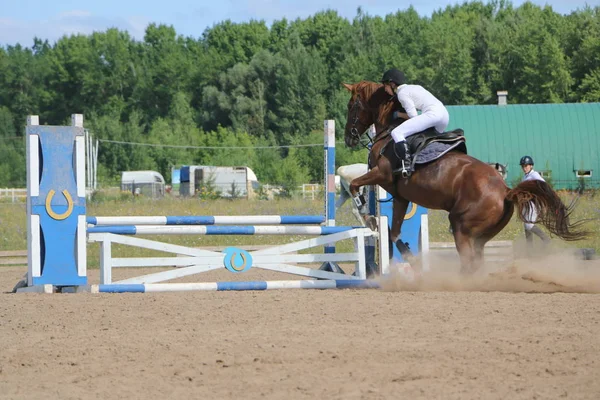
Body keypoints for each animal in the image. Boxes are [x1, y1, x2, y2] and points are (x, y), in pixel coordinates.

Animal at [344, 82, 584, 276]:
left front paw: (366, 215)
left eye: (351, 106)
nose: (348, 138)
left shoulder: (381, 174)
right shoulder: (401, 197)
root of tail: (506, 191)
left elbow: (355, 185)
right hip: (480, 235)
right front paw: (411, 258)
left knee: (469, 263)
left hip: (461, 226)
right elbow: (393, 233)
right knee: (476, 261)